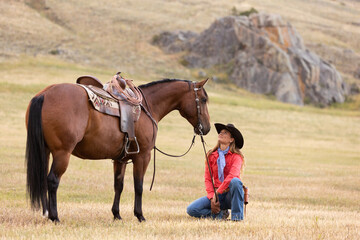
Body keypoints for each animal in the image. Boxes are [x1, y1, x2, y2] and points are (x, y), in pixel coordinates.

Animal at [24, 78, 211, 221]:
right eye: (203, 100)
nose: (207, 128)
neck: (149, 106)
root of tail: (44, 94)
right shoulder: (143, 156)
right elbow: (138, 186)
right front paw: (140, 215)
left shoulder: (120, 159)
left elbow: (118, 186)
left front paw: (117, 215)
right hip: (62, 153)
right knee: (53, 180)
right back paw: (54, 216)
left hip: (46, 151)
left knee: (43, 179)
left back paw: (46, 213)